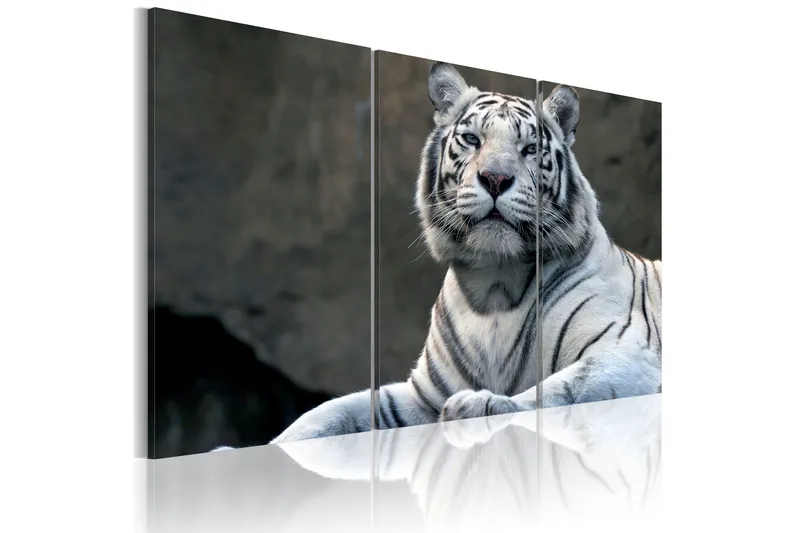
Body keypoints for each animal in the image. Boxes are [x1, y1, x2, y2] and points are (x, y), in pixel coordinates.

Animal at [212, 61, 662, 448]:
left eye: (530, 148)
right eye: (472, 139)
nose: (495, 178)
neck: (494, 286)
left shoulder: (626, 353)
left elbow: (556, 391)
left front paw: (482, 403)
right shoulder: (421, 395)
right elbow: (329, 413)